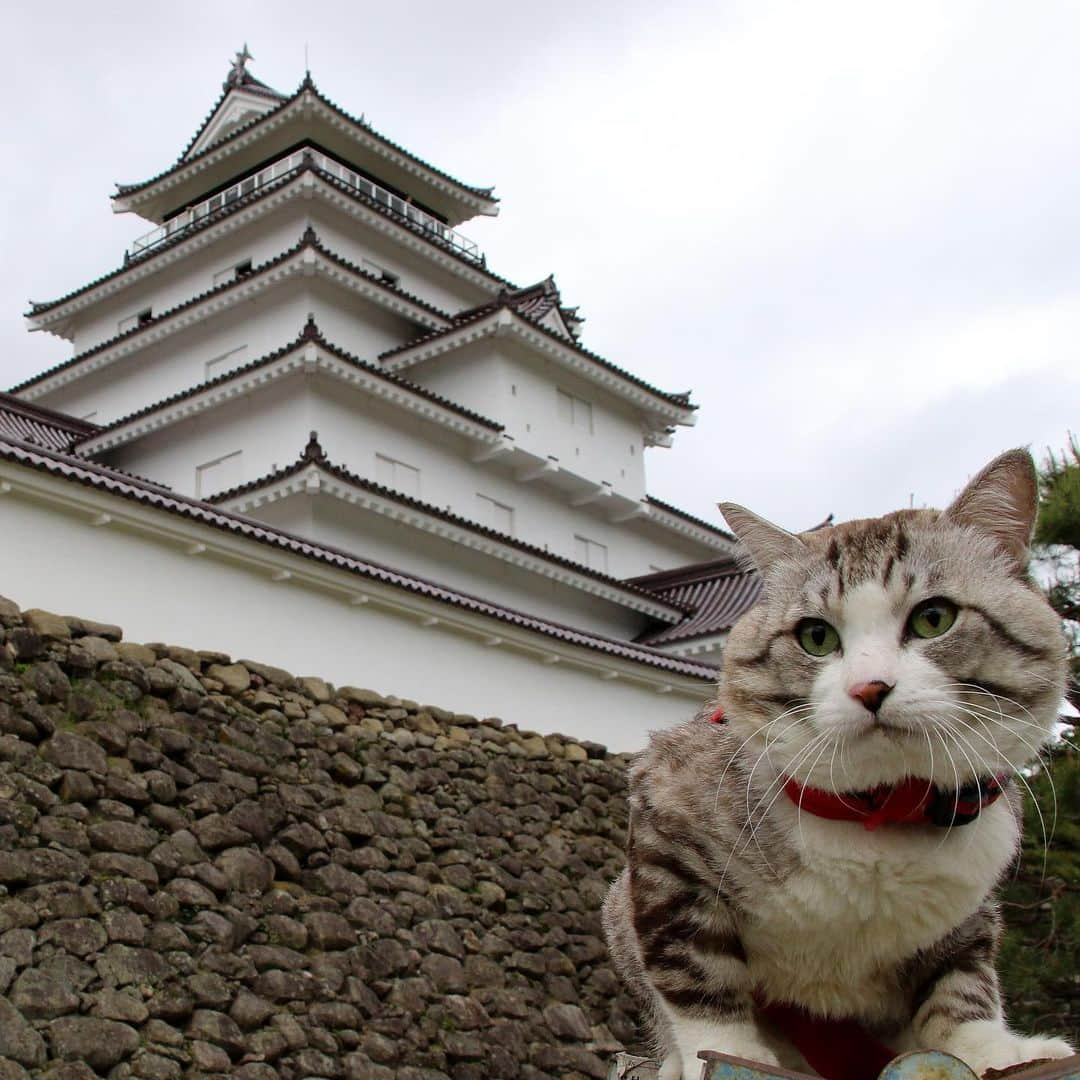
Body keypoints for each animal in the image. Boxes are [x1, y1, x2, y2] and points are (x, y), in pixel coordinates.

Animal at [604, 449, 1075, 1080]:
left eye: (934, 618)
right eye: (816, 636)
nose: (870, 687)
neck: (877, 811)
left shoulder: (971, 893)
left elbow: (962, 978)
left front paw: (992, 1048)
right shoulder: (666, 827)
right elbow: (692, 965)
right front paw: (727, 1051)